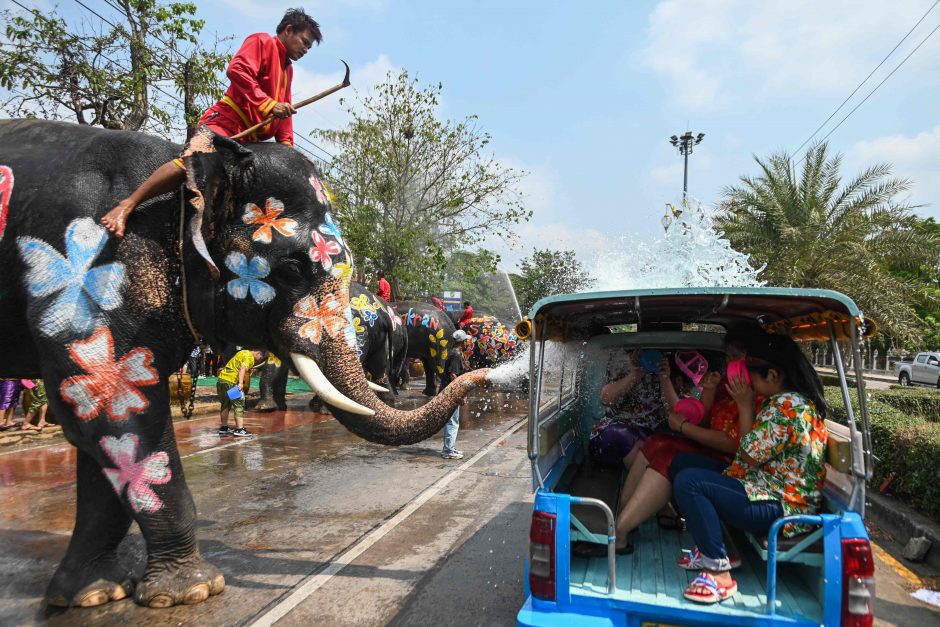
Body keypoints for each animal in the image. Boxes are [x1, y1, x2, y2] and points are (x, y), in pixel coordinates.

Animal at [0, 120, 488, 612]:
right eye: (291, 270)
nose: (484, 376)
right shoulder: (87, 290)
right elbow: (109, 413)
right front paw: (168, 591)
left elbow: (105, 421)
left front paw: (115, 593)